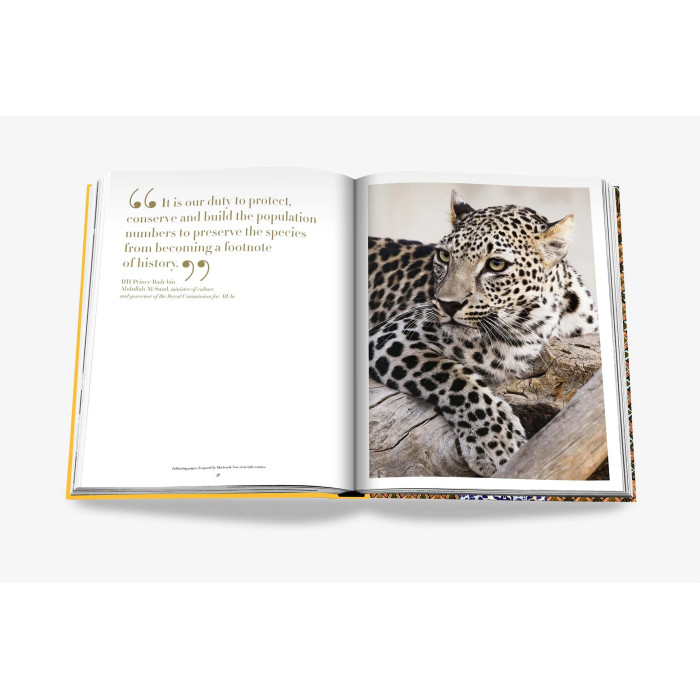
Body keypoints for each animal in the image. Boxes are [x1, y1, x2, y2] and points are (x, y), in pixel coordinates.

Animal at [368, 190, 598, 477]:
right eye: (444, 256)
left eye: (496, 264)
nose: (448, 304)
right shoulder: (394, 334)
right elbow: (454, 378)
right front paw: (496, 444)